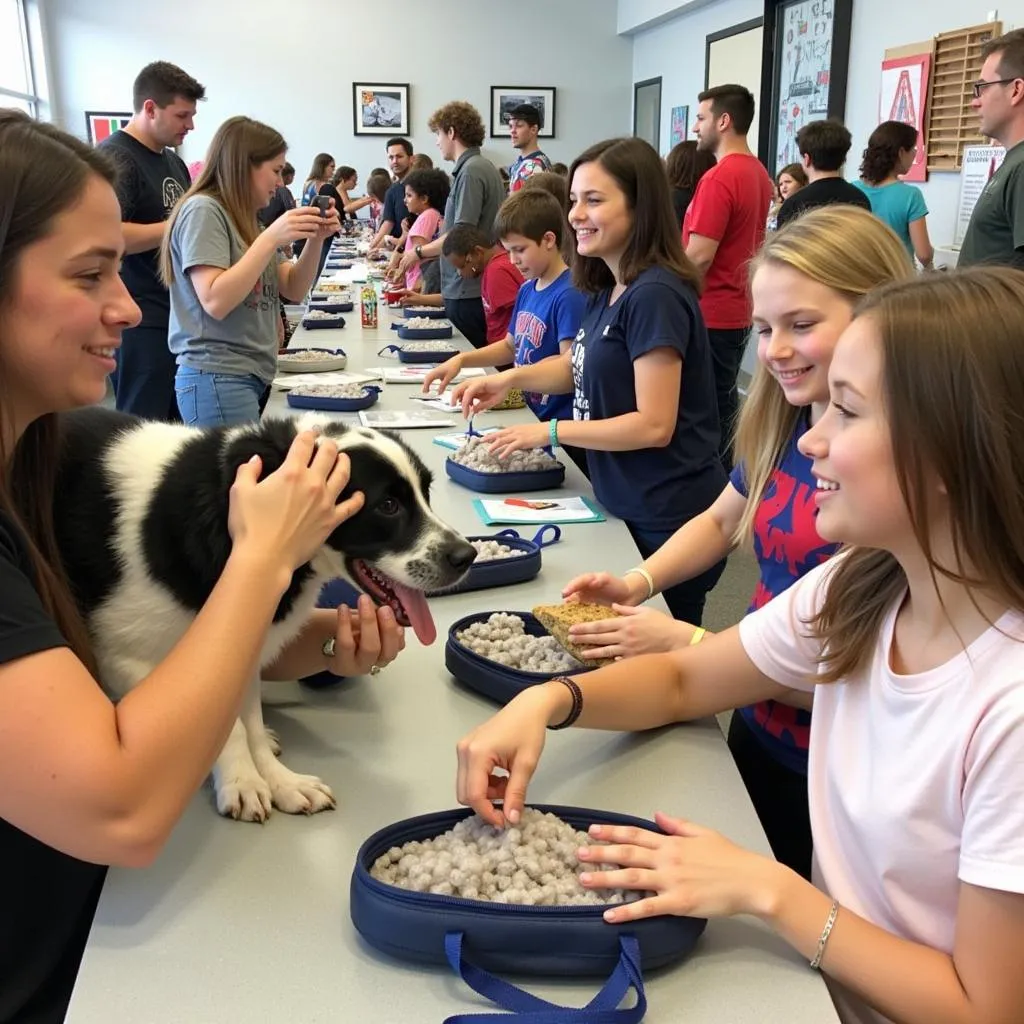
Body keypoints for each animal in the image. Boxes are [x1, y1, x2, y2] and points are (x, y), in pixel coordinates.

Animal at [52, 407, 475, 823]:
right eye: (388, 505)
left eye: (426, 493)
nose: (467, 556)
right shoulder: (128, 657)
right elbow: (226, 728)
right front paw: (242, 782)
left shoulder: (240, 640)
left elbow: (249, 722)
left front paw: (279, 781)